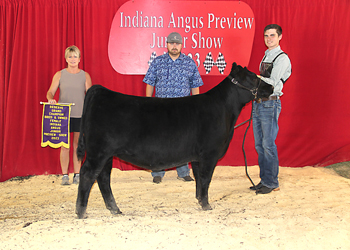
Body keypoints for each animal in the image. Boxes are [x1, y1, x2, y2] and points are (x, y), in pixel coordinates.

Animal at [76, 63, 274, 219]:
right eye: (252, 77)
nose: (271, 88)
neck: (225, 111)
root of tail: (100, 90)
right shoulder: (209, 154)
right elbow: (206, 178)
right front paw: (207, 205)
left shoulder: (197, 157)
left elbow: (198, 179)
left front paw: (199, 200)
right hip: (98, 152)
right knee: (87, 175)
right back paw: (81, 212)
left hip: (107, 155)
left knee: (103, 178)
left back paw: (115, 209)